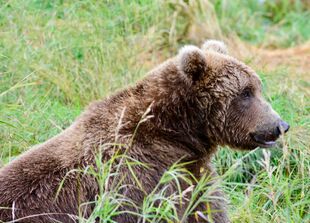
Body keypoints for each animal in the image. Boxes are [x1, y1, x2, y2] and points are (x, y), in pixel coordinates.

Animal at [0, 40, 288, 223]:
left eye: (257, 87)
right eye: (245, 93)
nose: (280, 125)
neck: (176, 132)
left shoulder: (190, 170)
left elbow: (205, 207)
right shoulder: (144, 176)